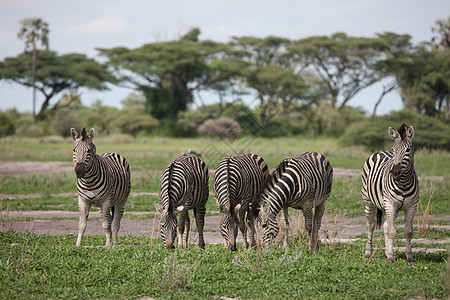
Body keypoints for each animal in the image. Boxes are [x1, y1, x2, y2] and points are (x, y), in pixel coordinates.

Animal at [360, 123, 420, 262]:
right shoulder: (390, 204)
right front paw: (392, 257)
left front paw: (408, 257)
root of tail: (380, 151)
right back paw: (368, 252)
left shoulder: (412, 206)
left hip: (391, 207)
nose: (395, 172)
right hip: (369, 201)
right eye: (393, 150)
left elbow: (408, 231)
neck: (403, 183)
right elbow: (392, 231)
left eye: (408, 150)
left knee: (386, 225)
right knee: (370, 225)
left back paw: (387, 252)